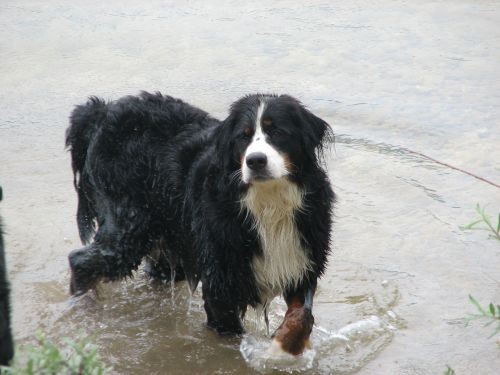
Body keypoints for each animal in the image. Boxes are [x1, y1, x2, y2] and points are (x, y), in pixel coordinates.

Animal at [65, 92, 332, 356]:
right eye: (243, 136)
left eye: (277, 132)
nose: (255, 161)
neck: (268, 202)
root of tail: (102, 111)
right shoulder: (221, 282)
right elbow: (230, 335)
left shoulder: (301, 261)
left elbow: (302, 314)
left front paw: (284, 346)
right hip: (129, 228)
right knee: (81, 262)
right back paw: (84, 312)